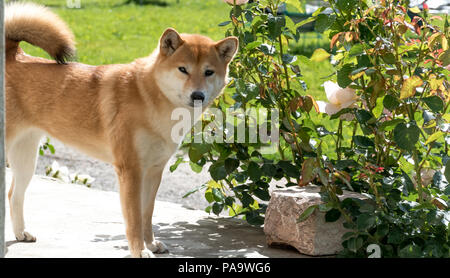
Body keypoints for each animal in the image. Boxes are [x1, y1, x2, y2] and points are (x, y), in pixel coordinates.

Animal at [4, 2, 239, 258]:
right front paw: (140, 251)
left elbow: (147, 214)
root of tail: (13, 56)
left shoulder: (153, 171)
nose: (198, 95)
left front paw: (151, 244)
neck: (150, 99)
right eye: (183, 69)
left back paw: (20, 233)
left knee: (14, 195)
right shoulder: (131, 170)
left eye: (209, 72)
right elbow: (134, 219)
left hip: (26, 159)